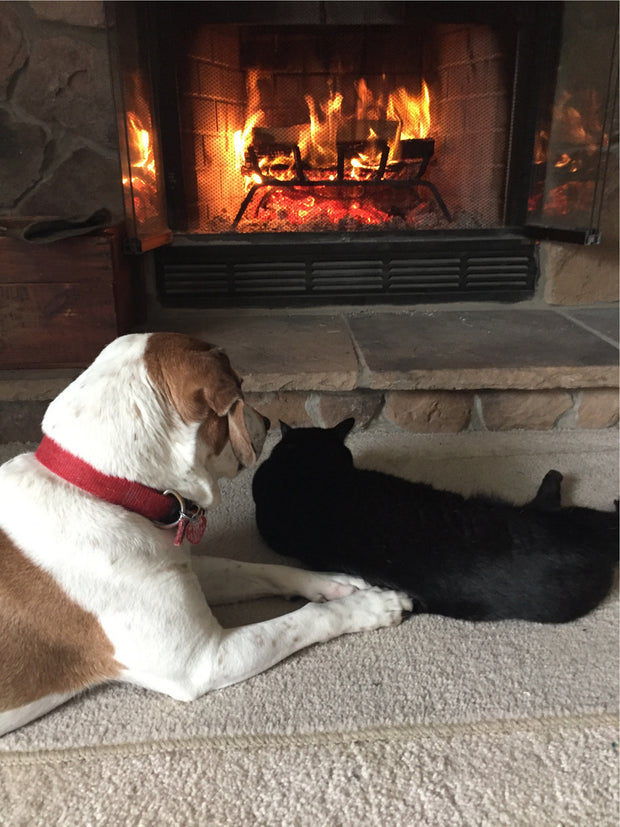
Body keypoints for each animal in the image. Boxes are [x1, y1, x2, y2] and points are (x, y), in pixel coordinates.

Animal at [0, 334, 412, 736]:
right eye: (240, 388)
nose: (267, 420)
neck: (104, 487)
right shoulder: (203, 660)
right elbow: (308, 618)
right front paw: (373, 606)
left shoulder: (185, 569)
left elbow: (261, 568)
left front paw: (342, 583)